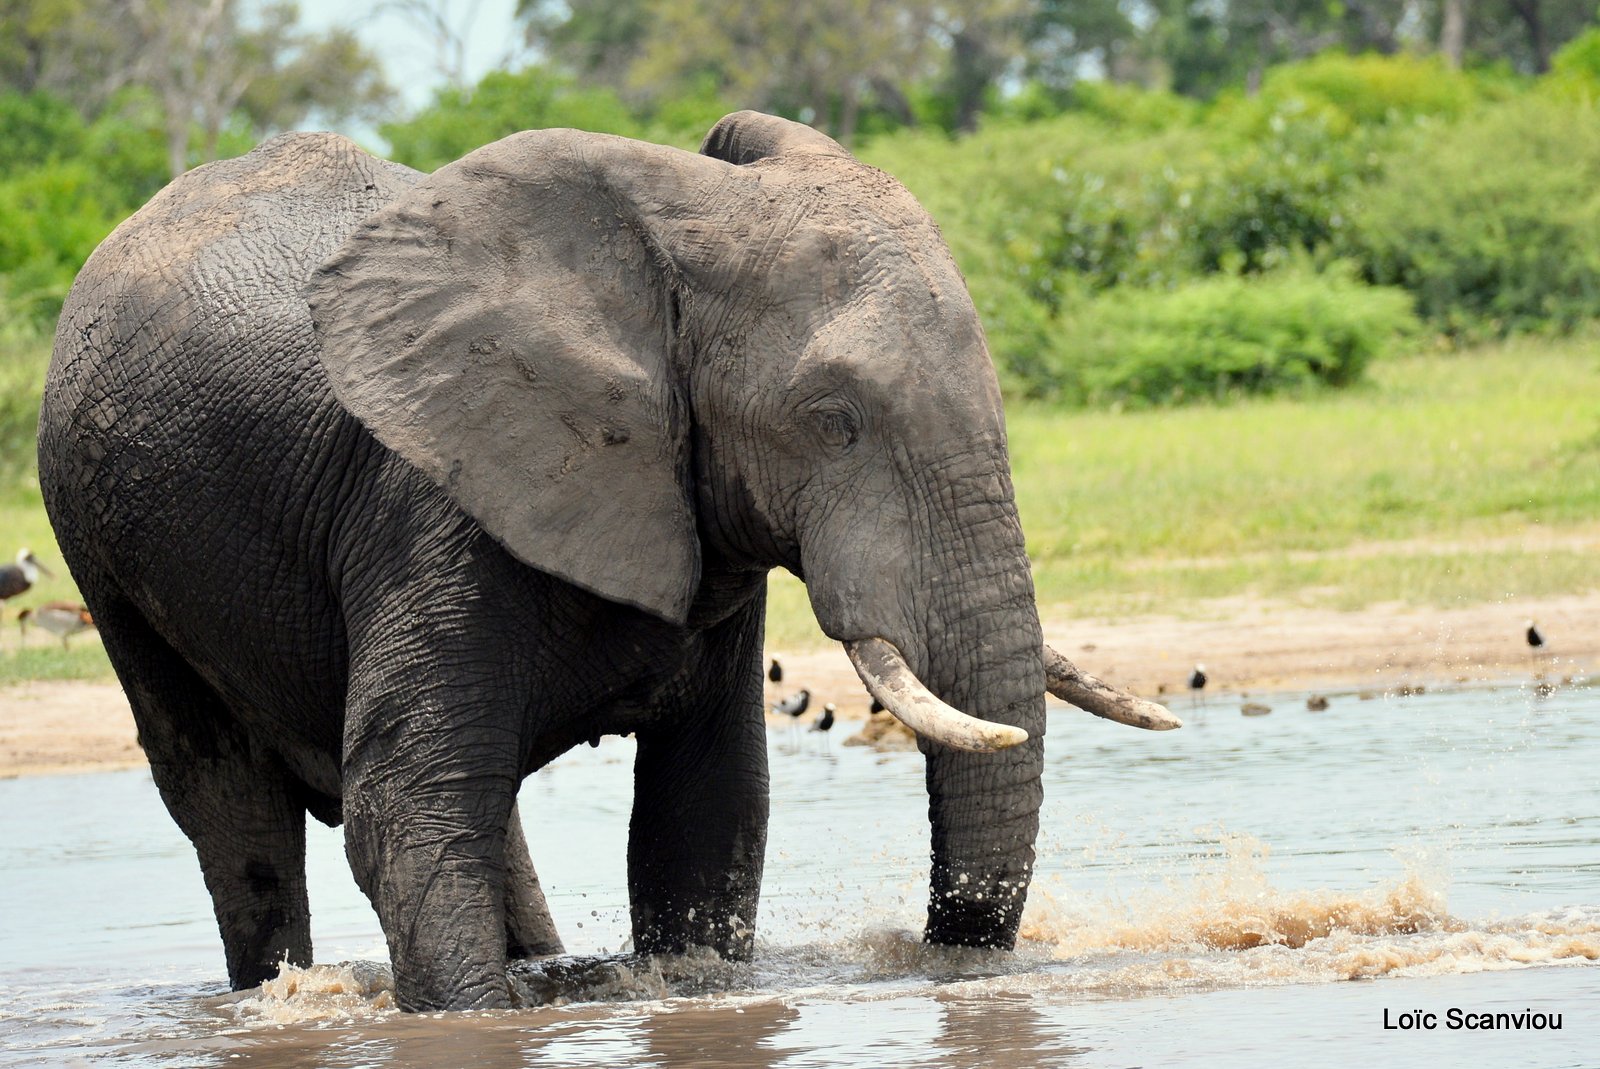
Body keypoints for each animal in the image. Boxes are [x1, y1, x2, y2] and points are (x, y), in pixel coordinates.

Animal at [40, 108, 1177, 1011]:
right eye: (833, 420)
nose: (942, 958)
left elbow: (709, 800)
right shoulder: (433, 502)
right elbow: (406, 804)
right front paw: (474, 1020)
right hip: (98, 540)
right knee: (233, 808)